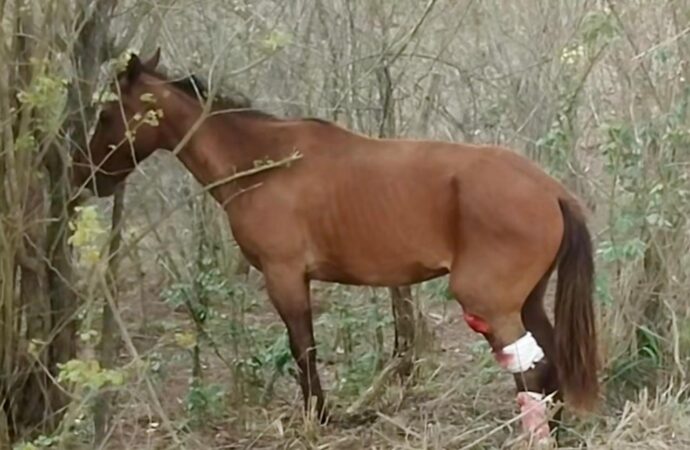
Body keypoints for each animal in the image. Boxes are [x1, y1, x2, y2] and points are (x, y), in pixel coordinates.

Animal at [71, 49, 599, 442]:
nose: (84, 176)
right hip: (526, 301)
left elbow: (303, 348)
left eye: (105, 113)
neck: (264, 163)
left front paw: (317, 420)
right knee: (550, 367)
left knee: (531, 373)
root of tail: (551, 190)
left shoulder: (284, 276)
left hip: (490, 303)